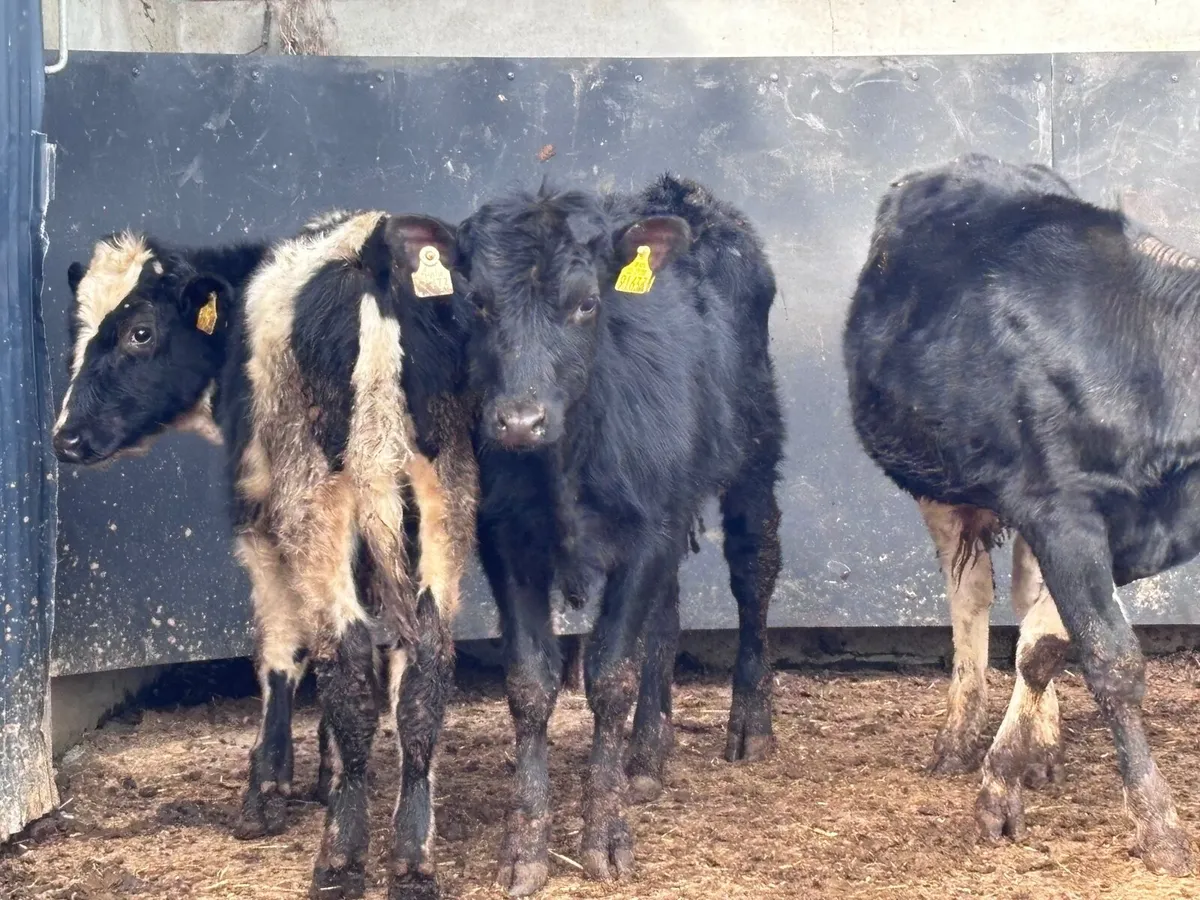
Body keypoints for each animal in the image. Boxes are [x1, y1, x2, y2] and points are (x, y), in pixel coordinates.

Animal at [52, 210, 478, 900]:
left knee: (348, 658)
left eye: (141, 333)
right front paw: (328, 772)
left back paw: (341, 859)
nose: (65, 438)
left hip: (315, 501)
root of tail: (374, 251)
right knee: (423, 670)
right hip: (442, 501)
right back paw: (413, 857)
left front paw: (268, 789)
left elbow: (282, 652)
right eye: (78, 333)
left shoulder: (259, 517)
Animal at [455, 173, 784, 895]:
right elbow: (531, 682)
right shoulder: (505, 540)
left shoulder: (647, 535)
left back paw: (751, 723)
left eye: (585, 303)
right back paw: (647, 755)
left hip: (754, 451)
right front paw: (525, 848)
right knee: (666, 616)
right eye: (478, 304)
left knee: (755, 569)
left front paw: (604, 837)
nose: (518, 421)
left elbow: (610, 676)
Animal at [844, 152, 1198, 875]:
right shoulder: (1063, 512)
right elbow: (1111, 661)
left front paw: (1013, 767)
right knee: (970, 595)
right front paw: (1160, 828)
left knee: (1025, 602)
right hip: (937, 482)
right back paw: (958, 735)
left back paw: (1042, 744)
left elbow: (1044, 645)